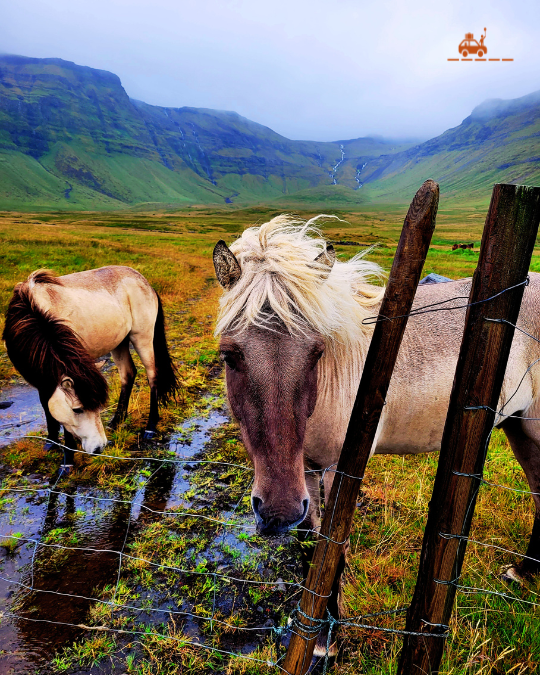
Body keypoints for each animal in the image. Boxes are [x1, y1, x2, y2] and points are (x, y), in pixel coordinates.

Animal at [3, 266, 178, 470]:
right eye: (78, 410)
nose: (99, 448)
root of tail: (144, 281)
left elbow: (65, 425)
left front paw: (67, 462)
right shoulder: (42, 380)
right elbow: (47, 407)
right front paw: (51, 442)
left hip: (142, 338)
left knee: (152, 376)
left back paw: (150, 427)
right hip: (119, 343)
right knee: (128, 374)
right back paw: (117, 421)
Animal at [212, 215, 540, 654]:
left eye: (317, 352)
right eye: (230, 356)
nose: (277, 511)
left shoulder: (337, 469)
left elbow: (331, 546)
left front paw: (326, 637)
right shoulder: (305, 470)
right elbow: (308, 542)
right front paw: (314, 633)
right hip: (520, 429)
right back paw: (523, 574)